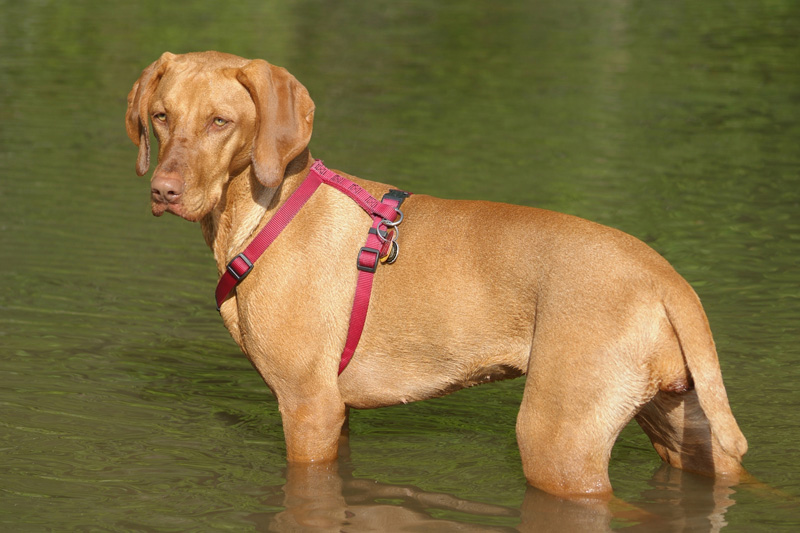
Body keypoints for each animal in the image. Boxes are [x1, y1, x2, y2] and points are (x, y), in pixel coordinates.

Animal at [126, 51, 752, 498]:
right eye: (161, 116)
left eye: (220, 121)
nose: (164, 191)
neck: (264, 211)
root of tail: (667, 279)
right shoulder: (336, 415)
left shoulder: (308, 406)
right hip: (682, 428)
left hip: (559, 445)